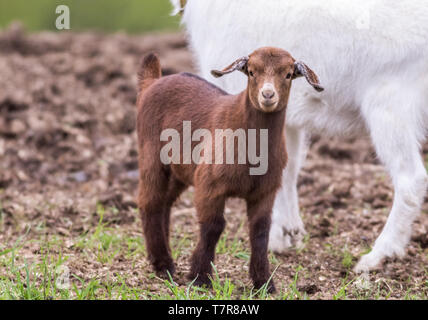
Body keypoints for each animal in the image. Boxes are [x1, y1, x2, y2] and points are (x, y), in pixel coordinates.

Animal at [172, 0, 428, 272]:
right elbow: (287, 168)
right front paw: (289, 235)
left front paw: (274, 241)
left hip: (389, 105)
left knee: (411, 178)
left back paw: (377, 256)